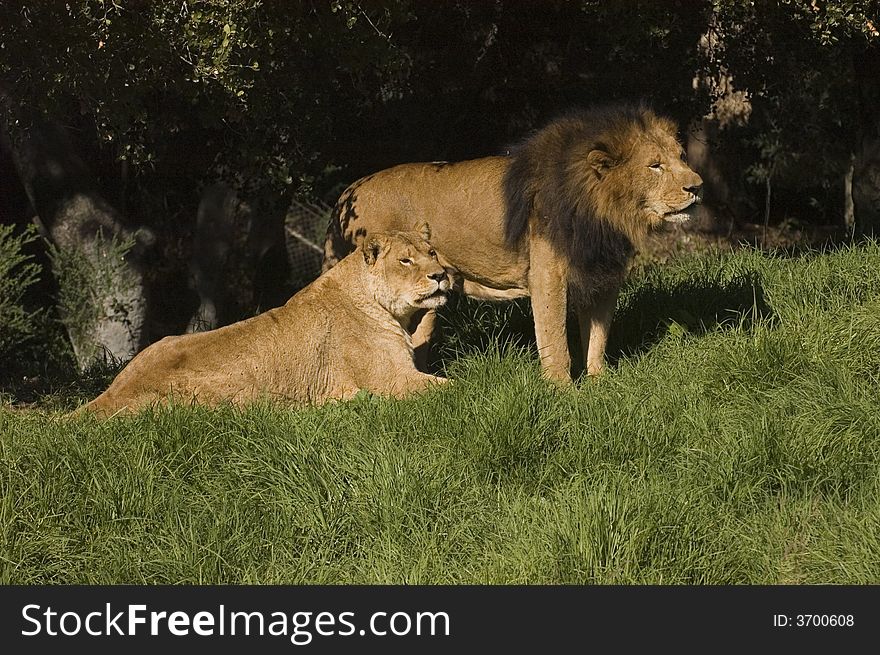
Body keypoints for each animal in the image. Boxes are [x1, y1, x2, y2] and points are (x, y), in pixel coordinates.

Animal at [79, 228, 450, 418]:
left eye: (431, 253)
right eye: (405, 260)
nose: (441, 275)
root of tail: (112, 394)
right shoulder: (393, 382)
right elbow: (453, 386)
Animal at [324, 102, 700, 380]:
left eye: (681, 156)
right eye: (654, 166)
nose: (697, 186)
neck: (604, 216)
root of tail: (344, 198)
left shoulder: (602, 277)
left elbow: (597, 337)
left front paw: (600, 383)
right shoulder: (547, 277)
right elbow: (556, 343)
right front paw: (564, 394)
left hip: (425, 303)